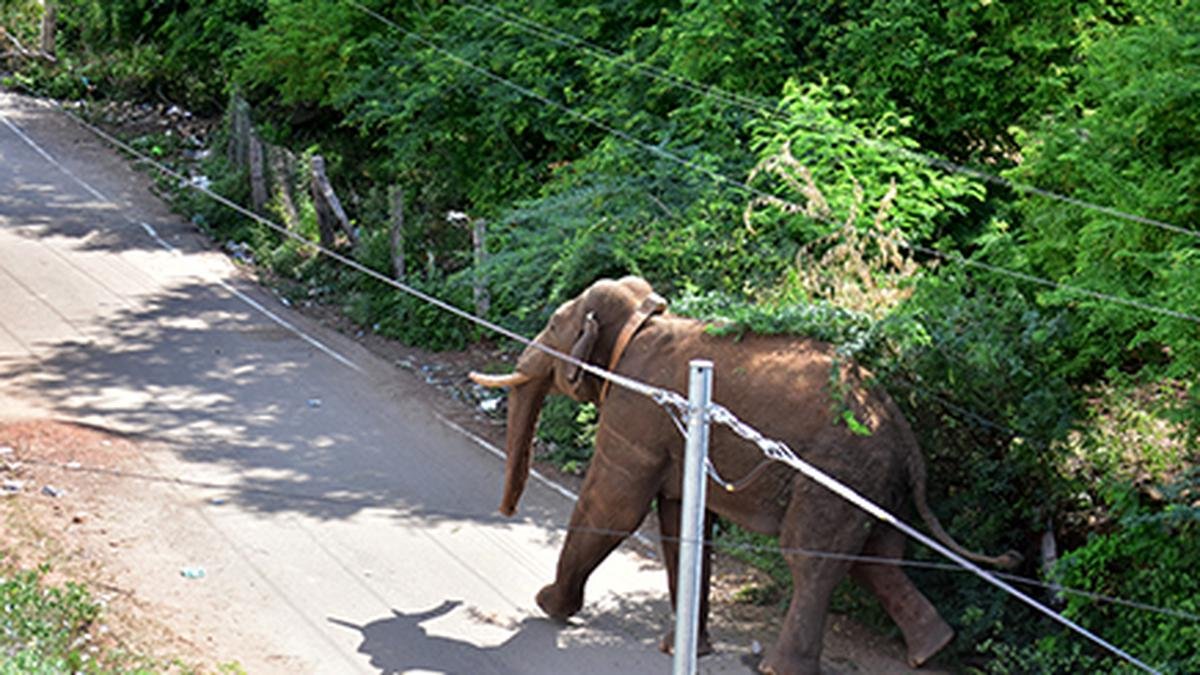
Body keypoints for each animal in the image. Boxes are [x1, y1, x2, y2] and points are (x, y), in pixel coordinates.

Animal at [472, 275, 1017, 672]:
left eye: (552, 325)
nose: (505, 511)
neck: (645, 318)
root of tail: (904, 436)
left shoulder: (636, 409)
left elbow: (614, 507)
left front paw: (547, 606)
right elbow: (680, 521)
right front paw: (684, 649)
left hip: (836, 475)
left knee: (811, 558)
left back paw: (779, 669)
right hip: (872, 485)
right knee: (876, 561)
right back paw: (933, 649)